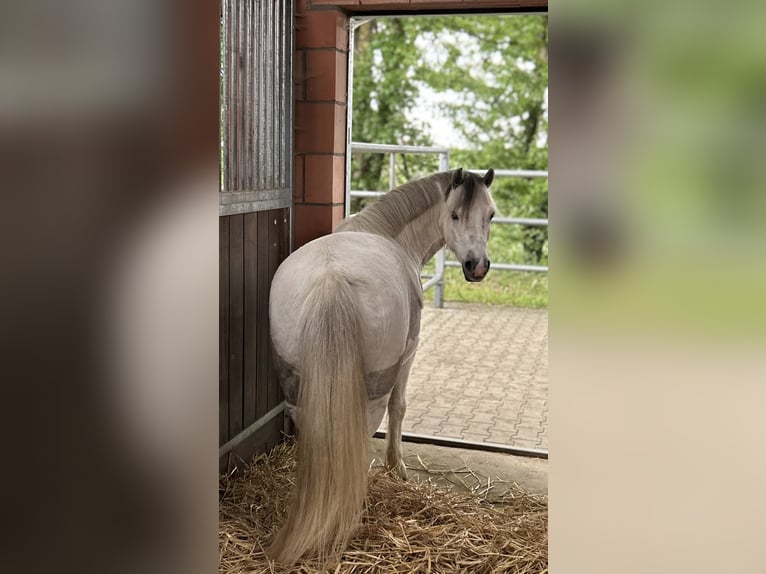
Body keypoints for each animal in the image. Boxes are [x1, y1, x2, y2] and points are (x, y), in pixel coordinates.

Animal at [267, 167, 496, 564]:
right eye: (454, 215)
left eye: (491, 215)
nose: (477, 266)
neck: (388, 232)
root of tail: (330, 279)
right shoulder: (409, 352)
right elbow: (399, 407)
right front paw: (396, 468)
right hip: (372, 389)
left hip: (295, 384)